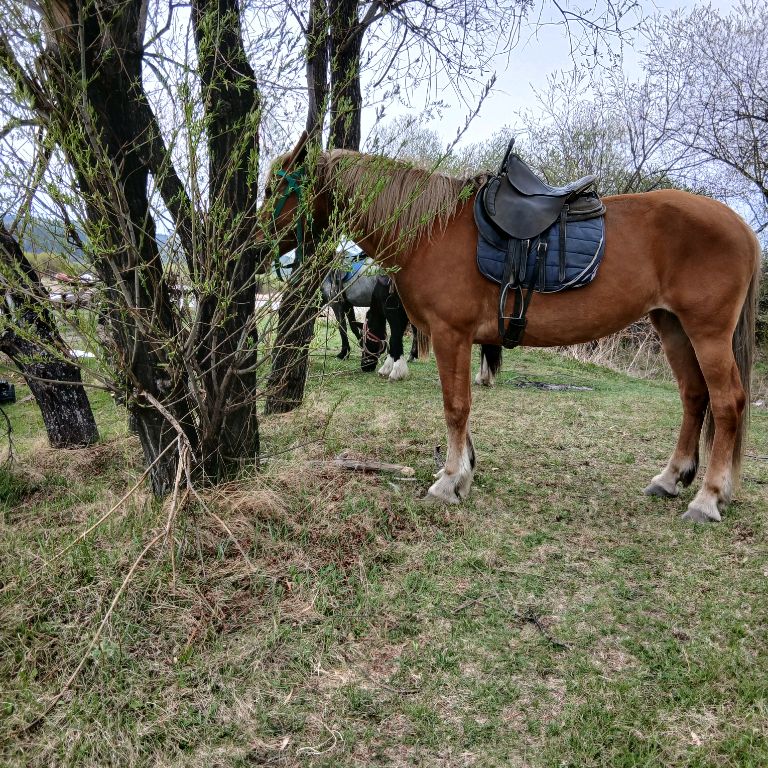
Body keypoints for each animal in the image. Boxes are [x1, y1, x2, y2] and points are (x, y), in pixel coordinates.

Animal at [257, 133, 761, 523]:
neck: (431, 230)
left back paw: (708, 499)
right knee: (694, 397)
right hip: (672, 326)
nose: (253, 239)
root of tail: (741, 225)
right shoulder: (458, 338)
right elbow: (461, 407)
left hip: (707, 332)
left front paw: (449, 481)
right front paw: (464, 470)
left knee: (727, 403)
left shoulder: (451, 334)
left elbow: (455, 406)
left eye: (277, 187)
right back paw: (671, 479)